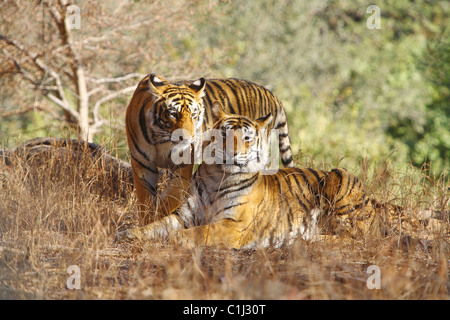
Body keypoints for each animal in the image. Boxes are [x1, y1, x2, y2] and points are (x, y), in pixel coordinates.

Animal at [118, 101, 448, 249]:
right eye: (224, 135)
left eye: (247, 138)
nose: (234, 154)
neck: (216, 178)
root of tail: (373, 200)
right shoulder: (184, 214)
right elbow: (158, 225)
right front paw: (131, 233)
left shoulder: (233, 225)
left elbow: (198, 233)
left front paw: (176, 240)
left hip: (339, 179)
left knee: (354, 237)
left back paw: (304, 239)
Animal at [125, 73, 294, 224]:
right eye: (173, 114)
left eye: (194, 114)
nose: (187, 138)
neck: (161, 140)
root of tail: (271, 94)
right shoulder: (142, 164)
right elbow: (145, 199)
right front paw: (148, 219)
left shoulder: (182, 165)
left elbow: (173, 196)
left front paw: (160, 214)